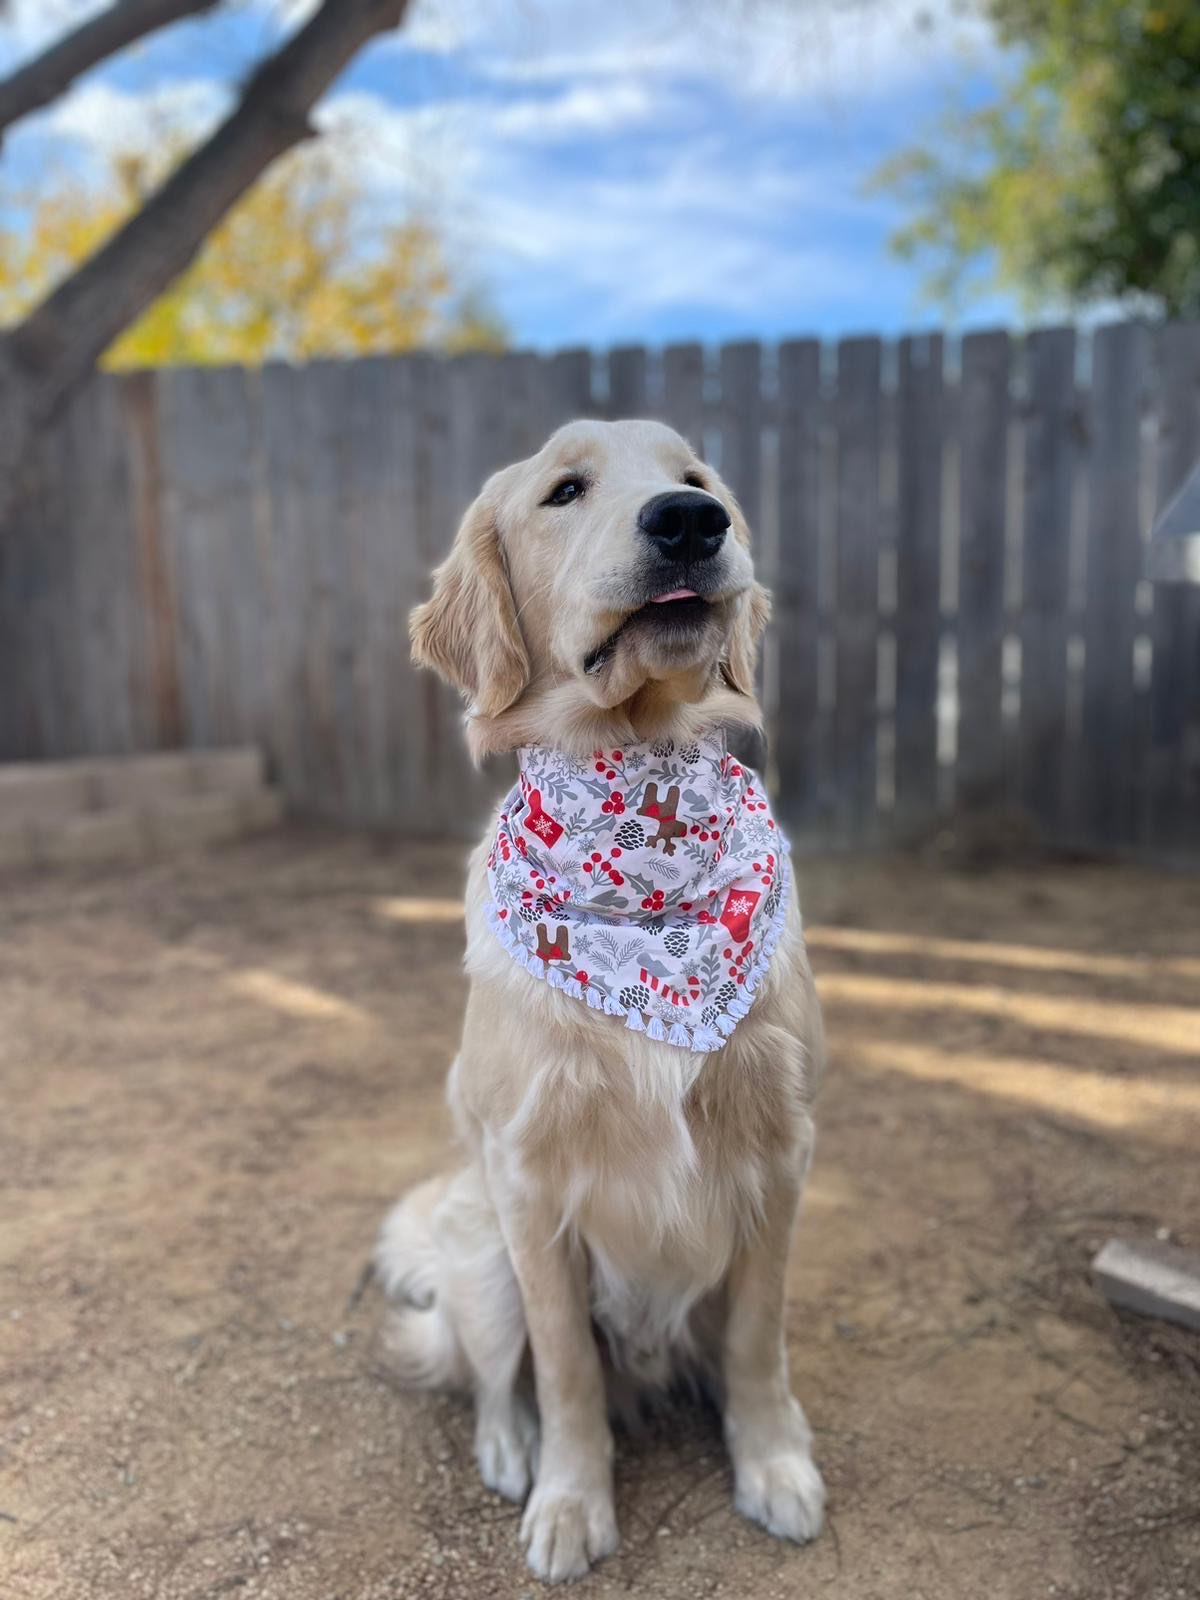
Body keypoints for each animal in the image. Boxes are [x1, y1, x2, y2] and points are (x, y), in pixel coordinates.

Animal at [376, 419, 825, 1580]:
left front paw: (773, 1464)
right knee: (497, 1373)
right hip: (481, 1251)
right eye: (564, 491)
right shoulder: (530, 1183)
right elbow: (566, 1367)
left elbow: (761, 1340)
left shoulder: (780, 1154)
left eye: (698, 479)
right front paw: (571, 1502)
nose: (689, 523)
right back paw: (511, 1451)